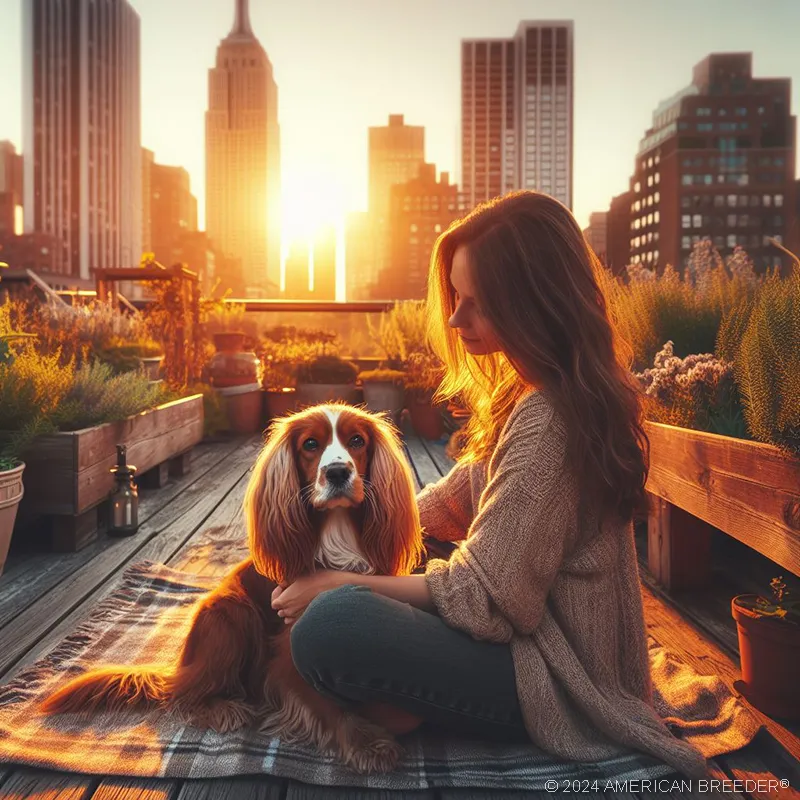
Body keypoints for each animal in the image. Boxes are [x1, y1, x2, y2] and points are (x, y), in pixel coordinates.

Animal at [39, 404, 424, 772]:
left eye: (357, 441)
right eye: (310, 445)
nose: (338, 473)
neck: (336, 533)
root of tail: (182, 668)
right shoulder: (290, 645)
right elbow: (326, 703)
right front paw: (366, 743)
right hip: (231, 613)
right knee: (182, 696)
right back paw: (224, 708)